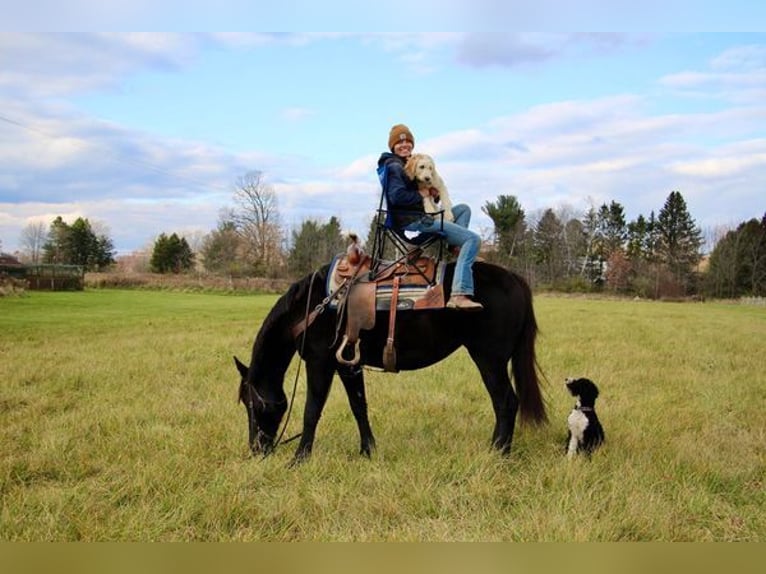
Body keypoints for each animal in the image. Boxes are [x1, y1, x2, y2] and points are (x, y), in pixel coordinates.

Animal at [234, 260, 544, 464]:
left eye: (252, 403)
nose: (256, 449)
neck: (310, 308)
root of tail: (514, 279)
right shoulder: (347, 364)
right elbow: (358, 406)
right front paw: (367, 451)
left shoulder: (319, 362)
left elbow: (312, 410)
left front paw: (299, 459)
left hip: (489, 359)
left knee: (505, 403)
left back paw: (498, 453)